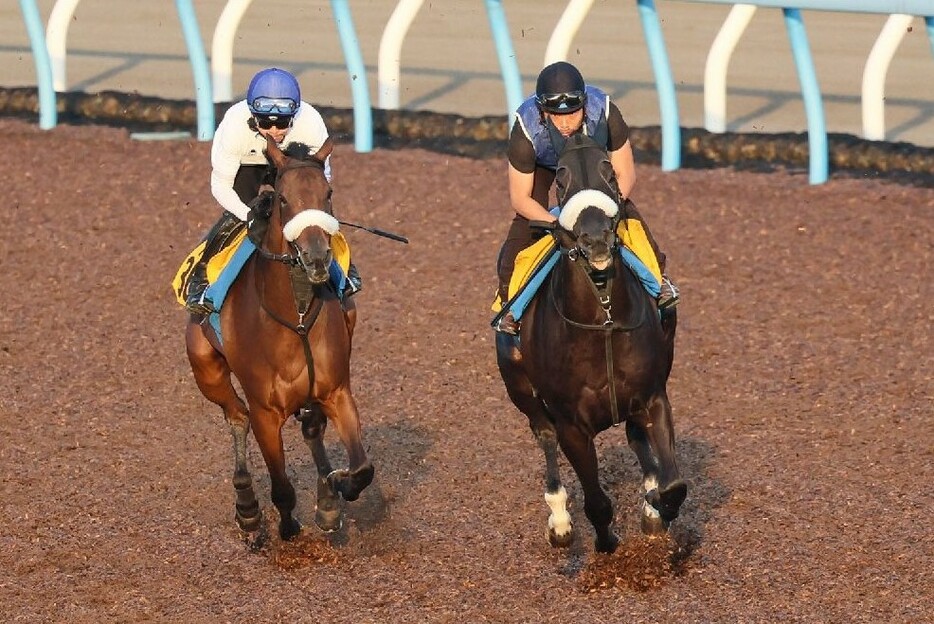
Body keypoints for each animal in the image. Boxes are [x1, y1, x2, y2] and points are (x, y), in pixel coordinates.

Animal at [185, 135, 374, 540]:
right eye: (283, 199)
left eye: (328, 193)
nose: (317, 257)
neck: (296, 318)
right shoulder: (266, 414)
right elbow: (282, 487)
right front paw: (286, 526)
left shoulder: (336, 390)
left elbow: (363, 469)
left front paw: (335, 490)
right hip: (207, 370)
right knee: (236, 416)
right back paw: (247, 507)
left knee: (311, 428)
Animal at [498, 134, 688, 552]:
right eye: (560, 179)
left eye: (610, 171)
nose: (597, 239)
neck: (602, 321)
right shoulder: (572, 425)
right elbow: (597, 502)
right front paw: (604, 542)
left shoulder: (652, 396)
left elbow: (674, 486)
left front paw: (655, 507)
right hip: (520, 389)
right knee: (544, 436)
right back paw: (559, 522)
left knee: (636, 438)